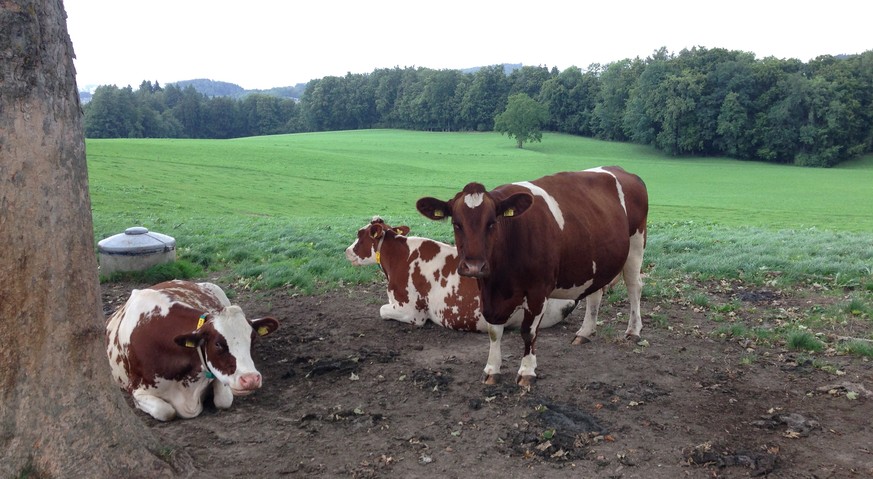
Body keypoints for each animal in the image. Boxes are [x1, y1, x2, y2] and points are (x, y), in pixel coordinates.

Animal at [104, 280, 280, 422]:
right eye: (218, 344)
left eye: (253, 339)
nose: (250, 379)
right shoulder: (137, 390)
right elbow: (166, 411)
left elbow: (224, 400)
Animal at [416, 167, 648, 388]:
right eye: (456, 223)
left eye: (491, 223)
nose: (474, 266)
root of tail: (623, 171)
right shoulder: (488, 293)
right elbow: (494, 331)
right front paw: (492, 370)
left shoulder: (538, 291)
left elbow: (528, 332)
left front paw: (527, 372)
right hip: (598, 258)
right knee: (595, 292)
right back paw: (585, 332)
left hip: (636, 244)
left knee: (634, 286)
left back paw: (633, 330)